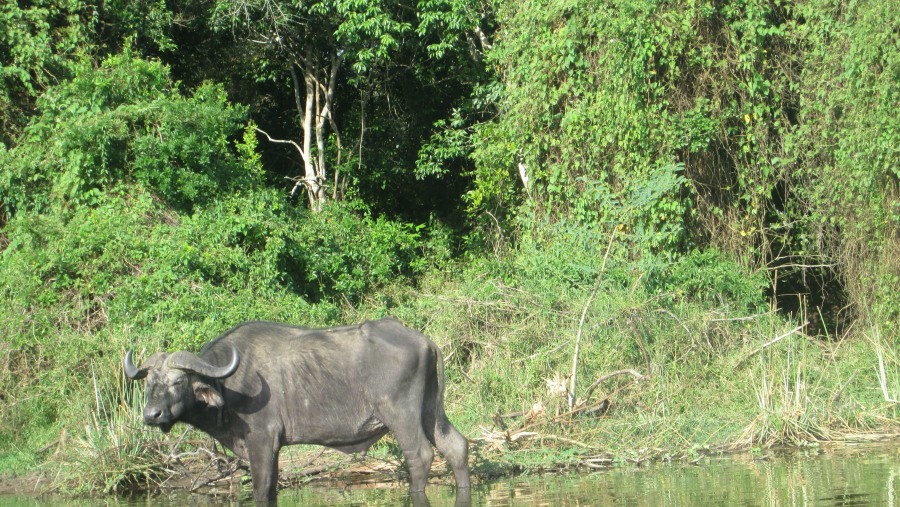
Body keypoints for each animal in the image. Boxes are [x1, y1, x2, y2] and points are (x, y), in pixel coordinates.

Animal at [125, 320, 472, 502]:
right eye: (149, 383)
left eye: (178, 381)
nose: (151, 415)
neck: (229, 385)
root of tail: (424, 341)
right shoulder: (274, 447)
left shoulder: (261, 441)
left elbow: (262, 488)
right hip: (430, 411)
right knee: (456, 446)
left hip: (402, 416)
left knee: (421, 456)